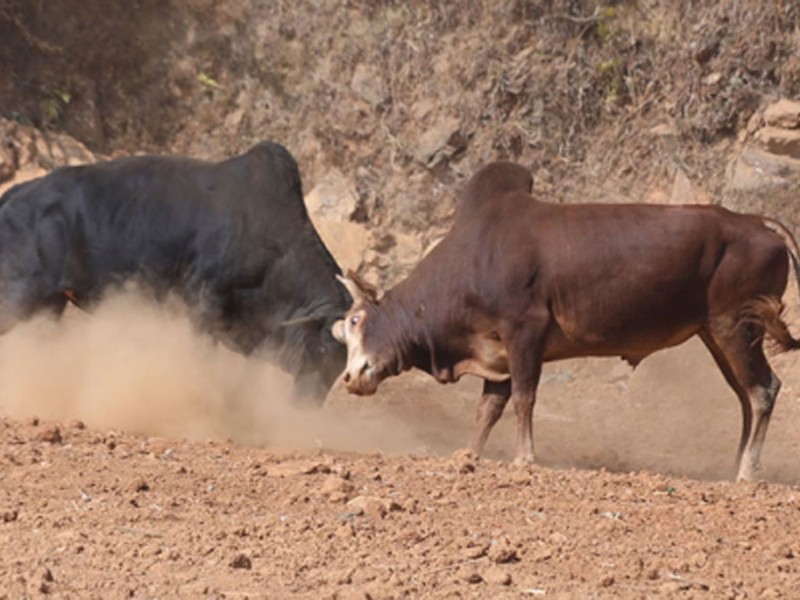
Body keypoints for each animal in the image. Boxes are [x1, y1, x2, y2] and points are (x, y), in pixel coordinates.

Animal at [0, 142, 350, 404]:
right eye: (321, 351)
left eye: (340, 364)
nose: (307, 403)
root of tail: (15, 195)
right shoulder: (203, 304)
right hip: (18, 297)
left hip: (49, 306)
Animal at [334, 162, 800, 480]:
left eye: (357, 320)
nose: (352, 377)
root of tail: (757, 224)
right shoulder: (497, 354)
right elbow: (487, 410)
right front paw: (468, 455)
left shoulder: (524, 333)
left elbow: (524, 399)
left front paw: (524, 458)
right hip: (716, 334)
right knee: (745, 395)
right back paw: (736, 465)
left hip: (735, 326)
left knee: (763, 390)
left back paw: (747, 473)